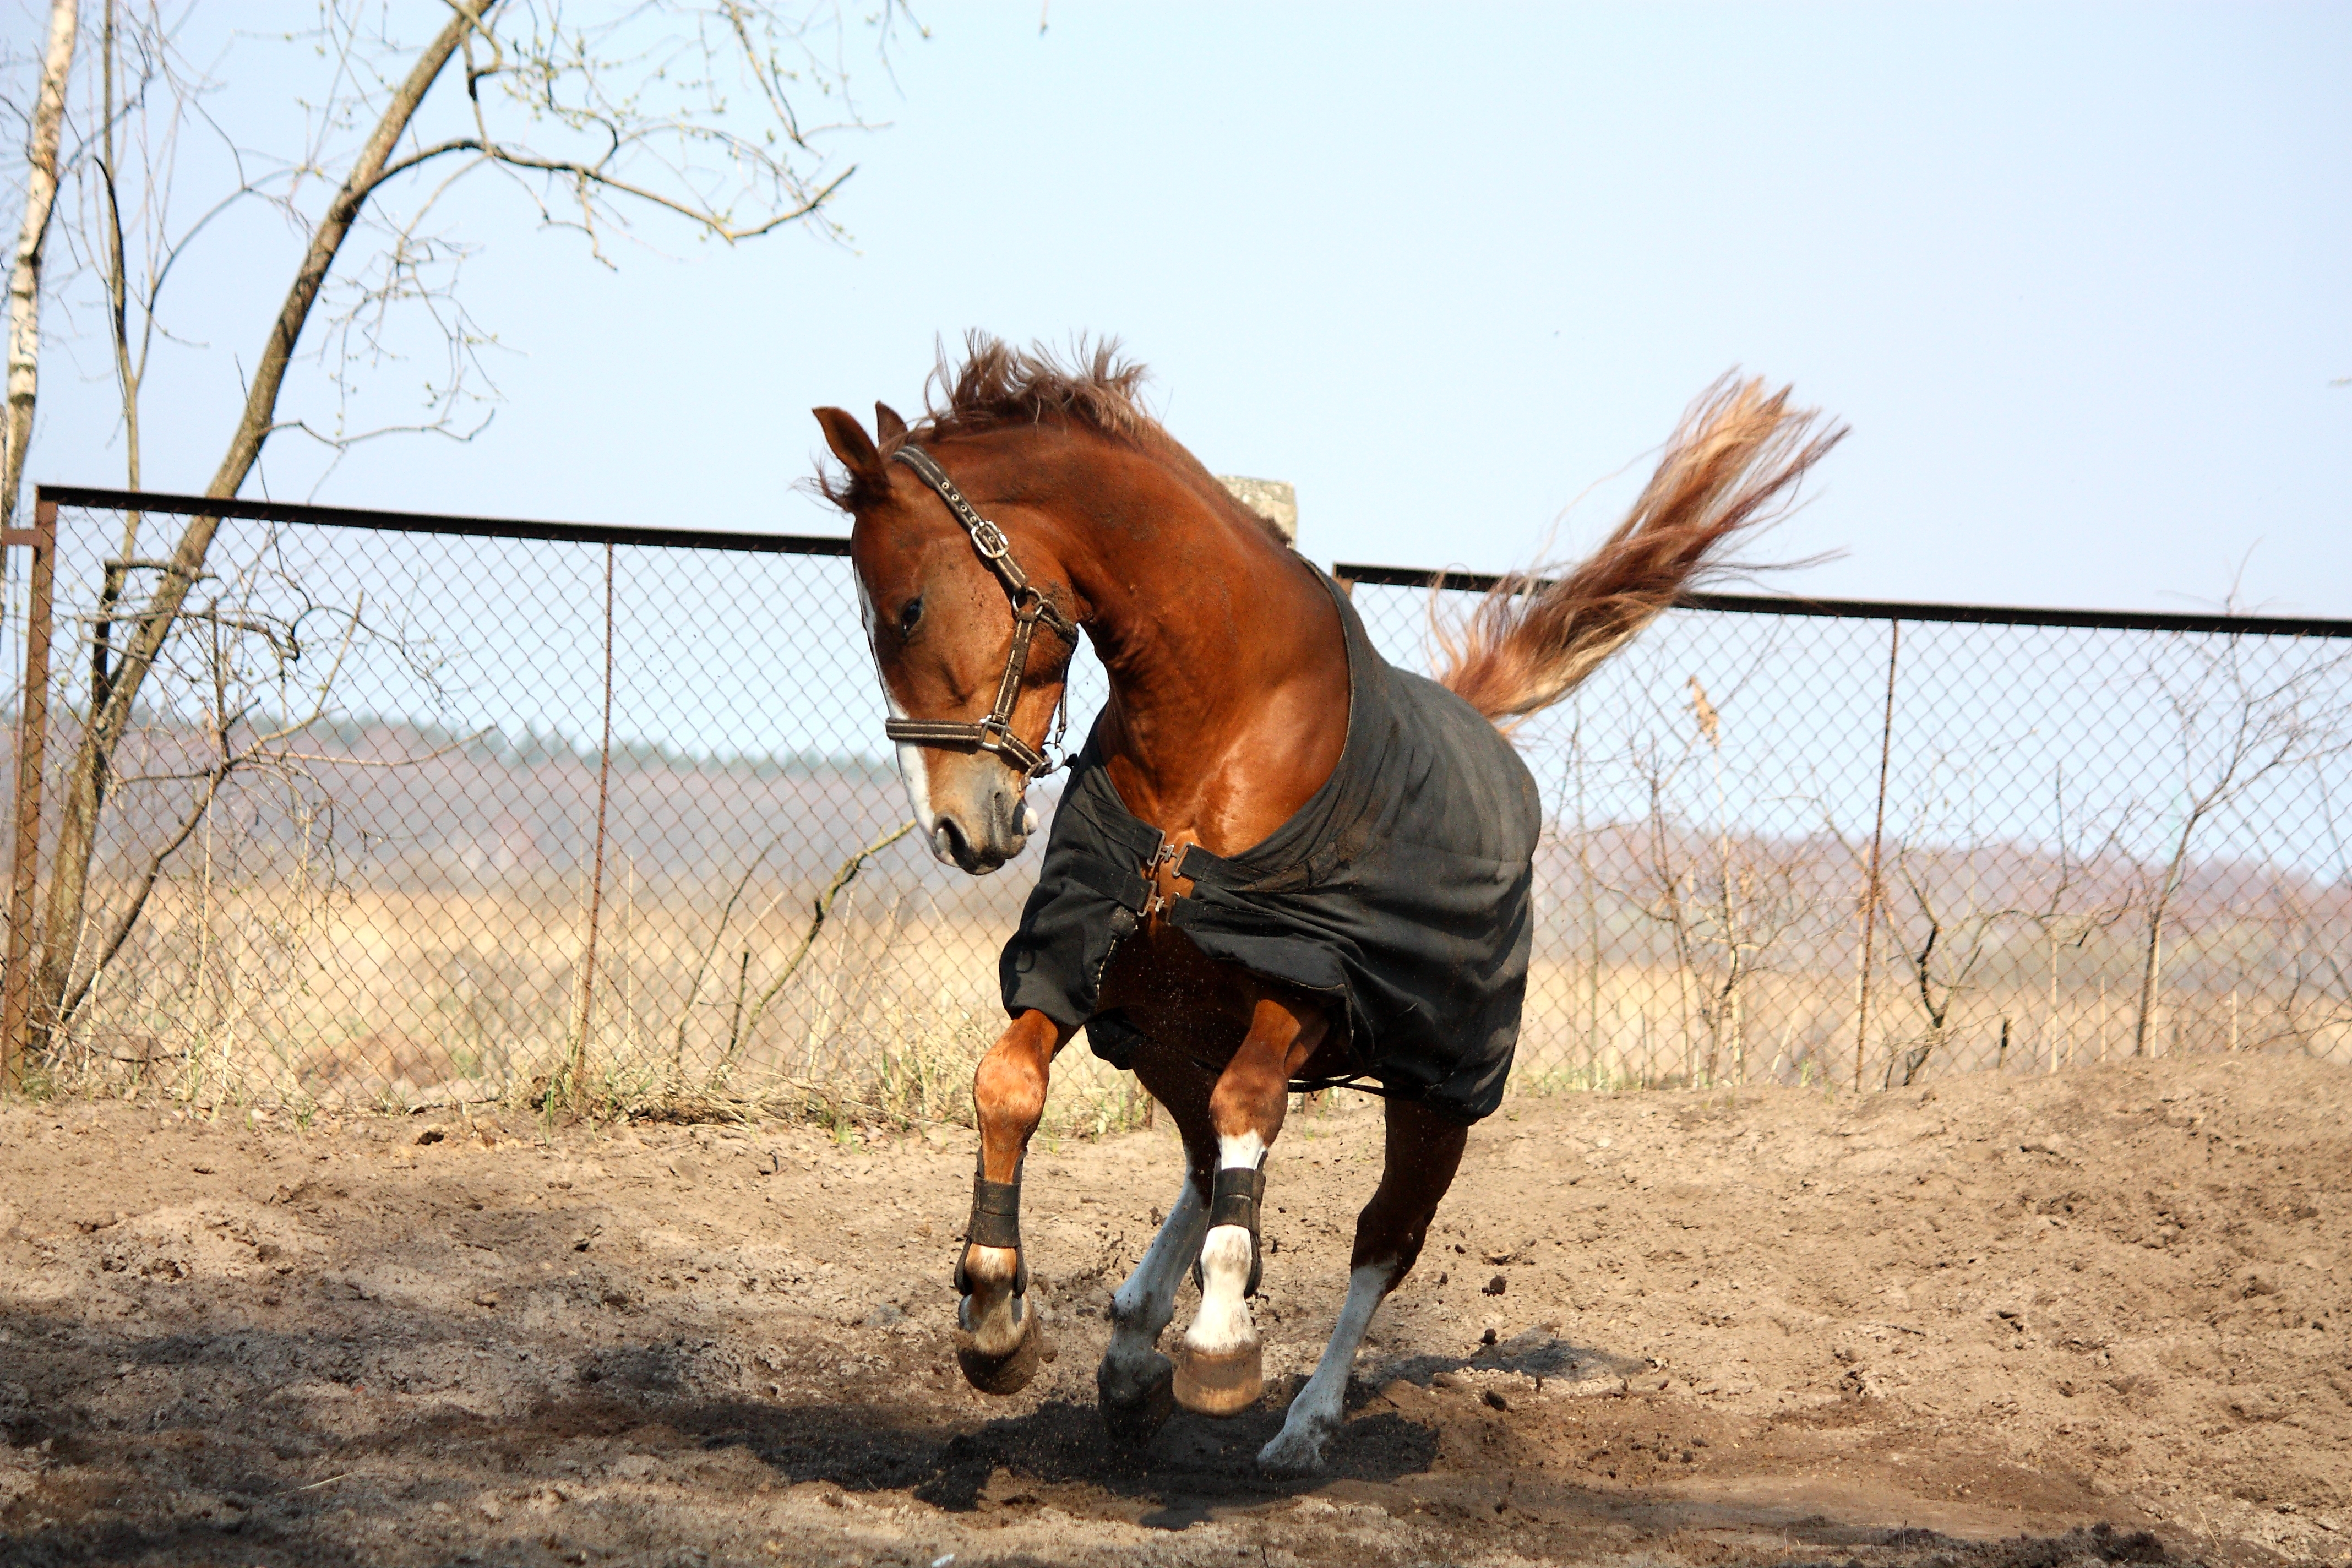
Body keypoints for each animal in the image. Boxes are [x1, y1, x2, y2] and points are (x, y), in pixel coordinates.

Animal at [818, 341, 1844, 1476]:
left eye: (906, 609)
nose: (957, 829)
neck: (1220, 730)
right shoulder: (1086, 956)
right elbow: (1007, 1085)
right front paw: (997, 1313)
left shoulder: (1306, 983)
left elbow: (1251, 1114)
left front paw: (1222, 1341)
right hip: (1171, 1035)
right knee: (1199, 1162)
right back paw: (1130, 1345)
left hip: (1436, 1094)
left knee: (1377, 1237)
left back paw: (1299, 1417)